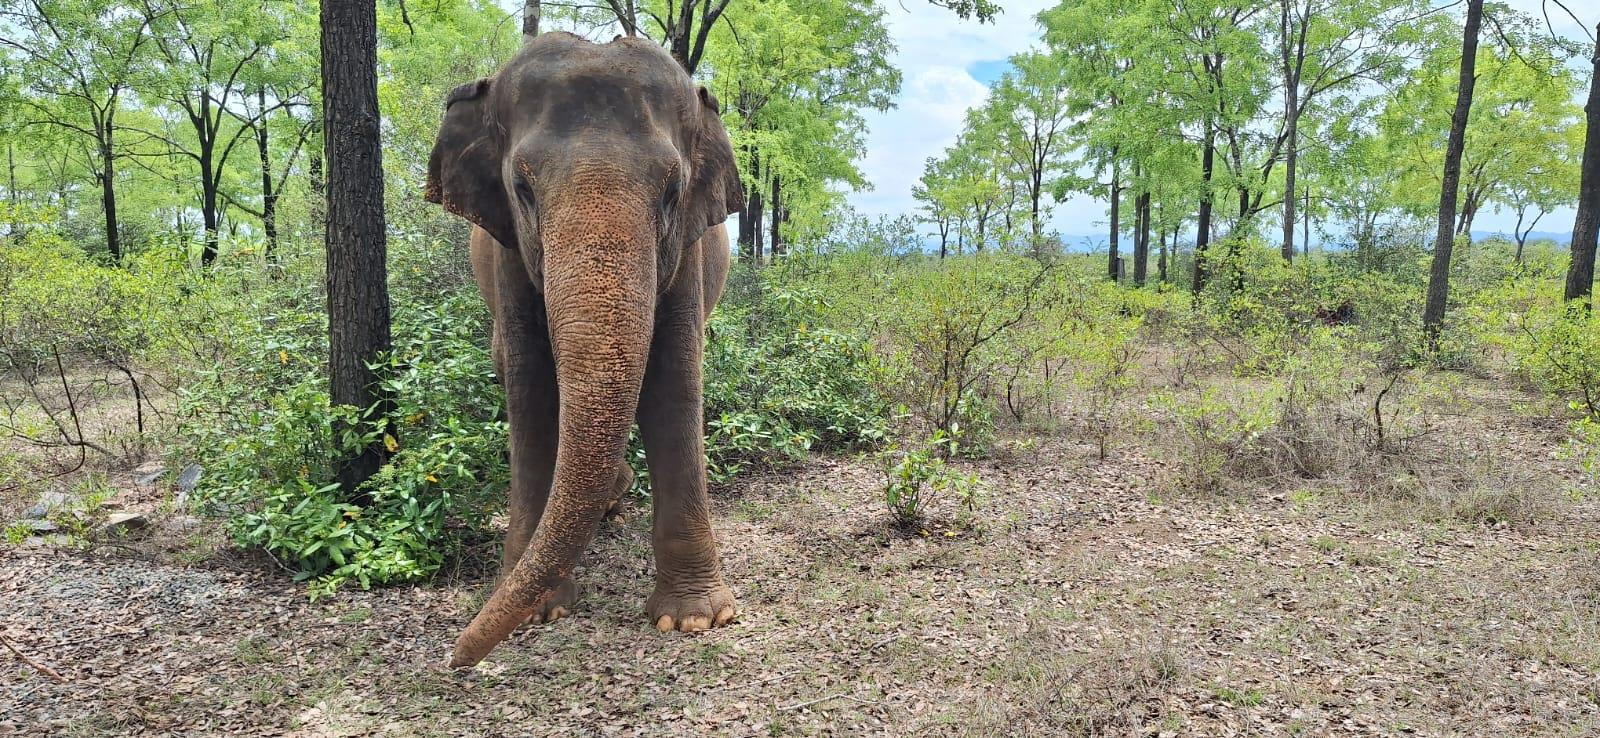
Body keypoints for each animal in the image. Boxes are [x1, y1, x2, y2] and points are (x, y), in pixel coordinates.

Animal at [423, 32, 744, 668]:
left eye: (673, 191)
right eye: (522, 189)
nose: (455, 658)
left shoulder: (689, 251)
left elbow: (673, 385)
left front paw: (695, 619)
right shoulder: (507, 255)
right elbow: (532, 391)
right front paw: (536, 608)